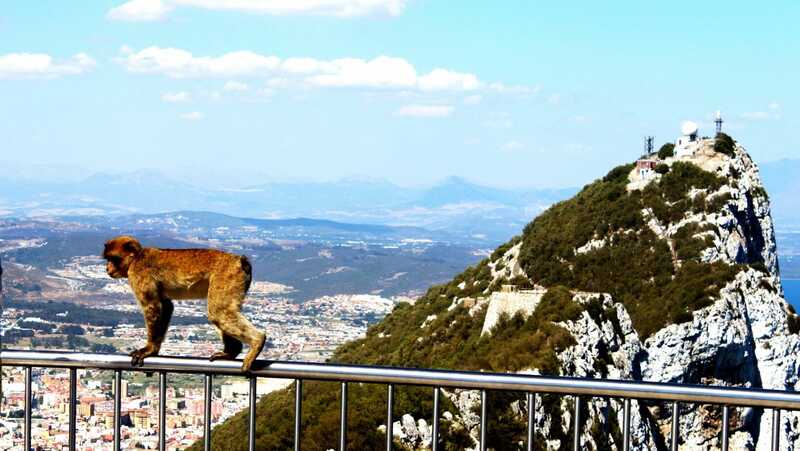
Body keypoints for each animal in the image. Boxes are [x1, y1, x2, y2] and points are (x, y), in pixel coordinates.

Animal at [101, 235, 266, 372]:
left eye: (113, 259)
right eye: (107, 259)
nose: (107, 268)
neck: (136, 258)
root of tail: (240, 260)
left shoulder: (138, 274)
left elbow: (153, 307)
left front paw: (149, 349)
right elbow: (166, 306)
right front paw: (155, 350)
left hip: (227, 277)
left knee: (218, 312)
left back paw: (258, 341)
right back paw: (231, 352)